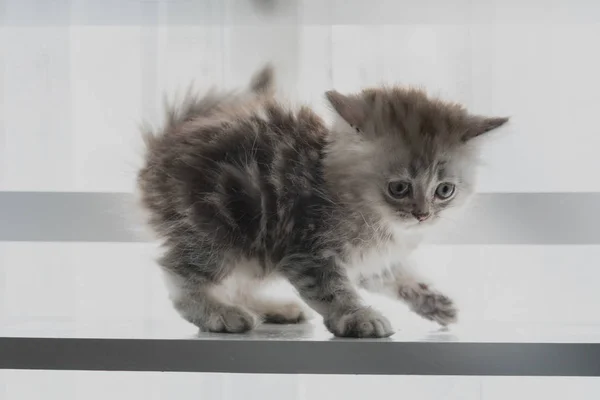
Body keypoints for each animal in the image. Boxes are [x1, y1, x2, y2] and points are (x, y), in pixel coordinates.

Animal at [138, 66, 508, 338]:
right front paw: (358, 317)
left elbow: (394, 274)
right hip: (221, 224)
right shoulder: (307, 246)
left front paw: (432, 301)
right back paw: (220, 313)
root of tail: (161, 148)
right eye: (399, 188)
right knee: (180, 273)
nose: (423, 215)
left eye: (444, 190)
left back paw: (272, 308)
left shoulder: (368, 257)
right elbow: (332, 290)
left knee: (239, 283)